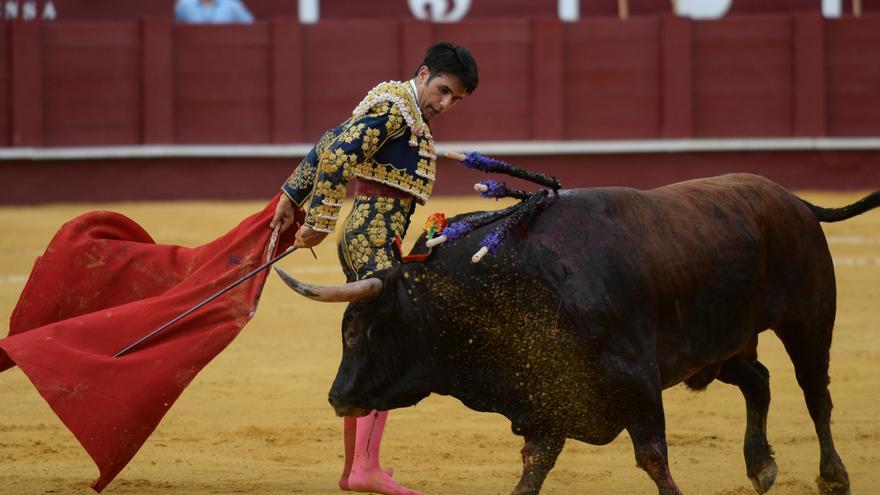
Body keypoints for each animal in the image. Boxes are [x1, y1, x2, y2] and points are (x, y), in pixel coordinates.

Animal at [276, 172, 880, 494]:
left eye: (357, 333)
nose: (337, 397)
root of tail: (793, 199)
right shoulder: (548, 398)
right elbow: (533, 468)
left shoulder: (636, 383)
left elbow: (653, 458)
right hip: (724, 345)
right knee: (759, 381)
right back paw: (761, 466)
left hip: (809, 320)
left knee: (815, 395)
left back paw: (833, 475)